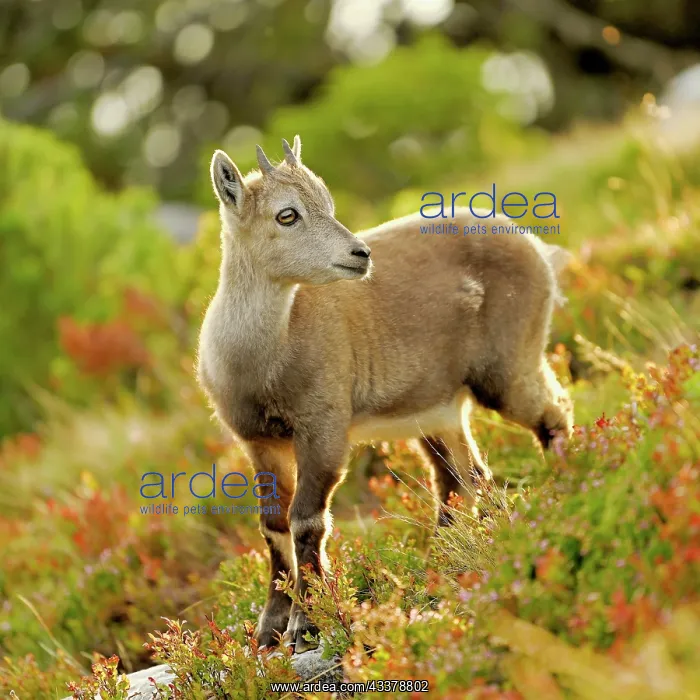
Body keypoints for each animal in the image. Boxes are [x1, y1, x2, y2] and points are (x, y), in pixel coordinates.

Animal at [196, 136, 574, 652]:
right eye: (287, 214)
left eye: (328, 202)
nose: (360, 254)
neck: (263, 356)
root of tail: (533, 244)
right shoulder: (259, 441)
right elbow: (273, 525)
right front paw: (270, 626)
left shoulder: (322, 426)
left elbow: (305, 520)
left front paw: (306, 623)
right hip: (436, 410)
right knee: (462, 477)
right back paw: (446, 555)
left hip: (508, 367)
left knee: (551, 415)